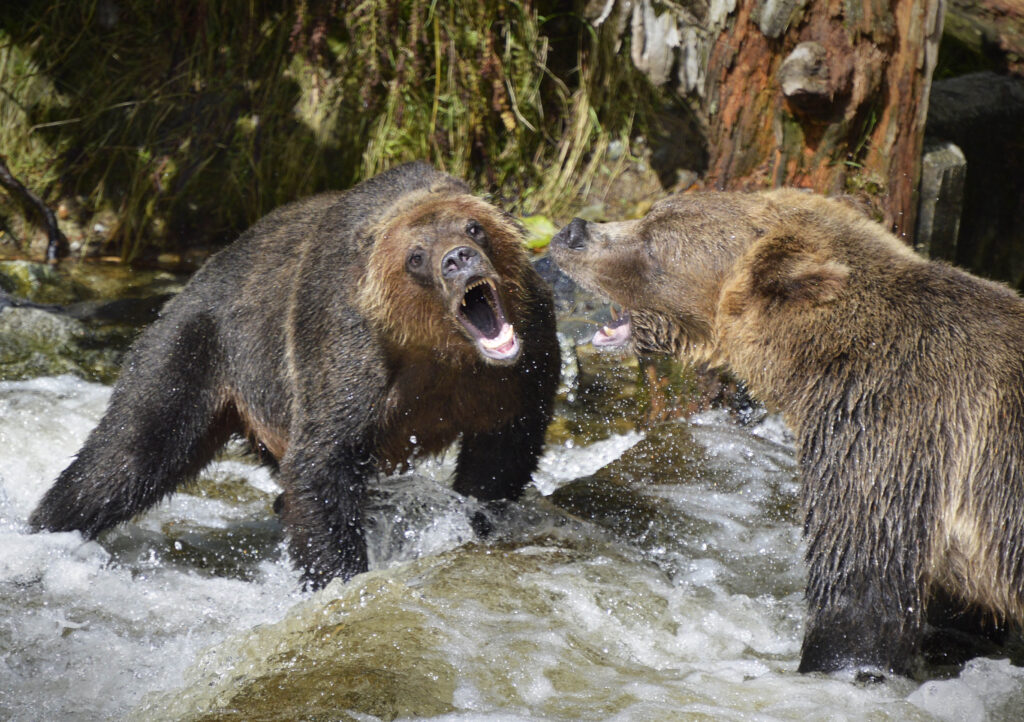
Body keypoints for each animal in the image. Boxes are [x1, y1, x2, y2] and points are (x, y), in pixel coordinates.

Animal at [29, 160, 561, 589]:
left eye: (474, 227)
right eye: (416, 256)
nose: (457, 259)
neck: (440, 351)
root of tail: (195, 278)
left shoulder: (519, 365)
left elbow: (501, 454)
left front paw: (475, 520)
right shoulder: (349, 354)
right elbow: (322, 463)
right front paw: (339, 577)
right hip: (198, 346)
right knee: (128, 451)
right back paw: (43, 532)